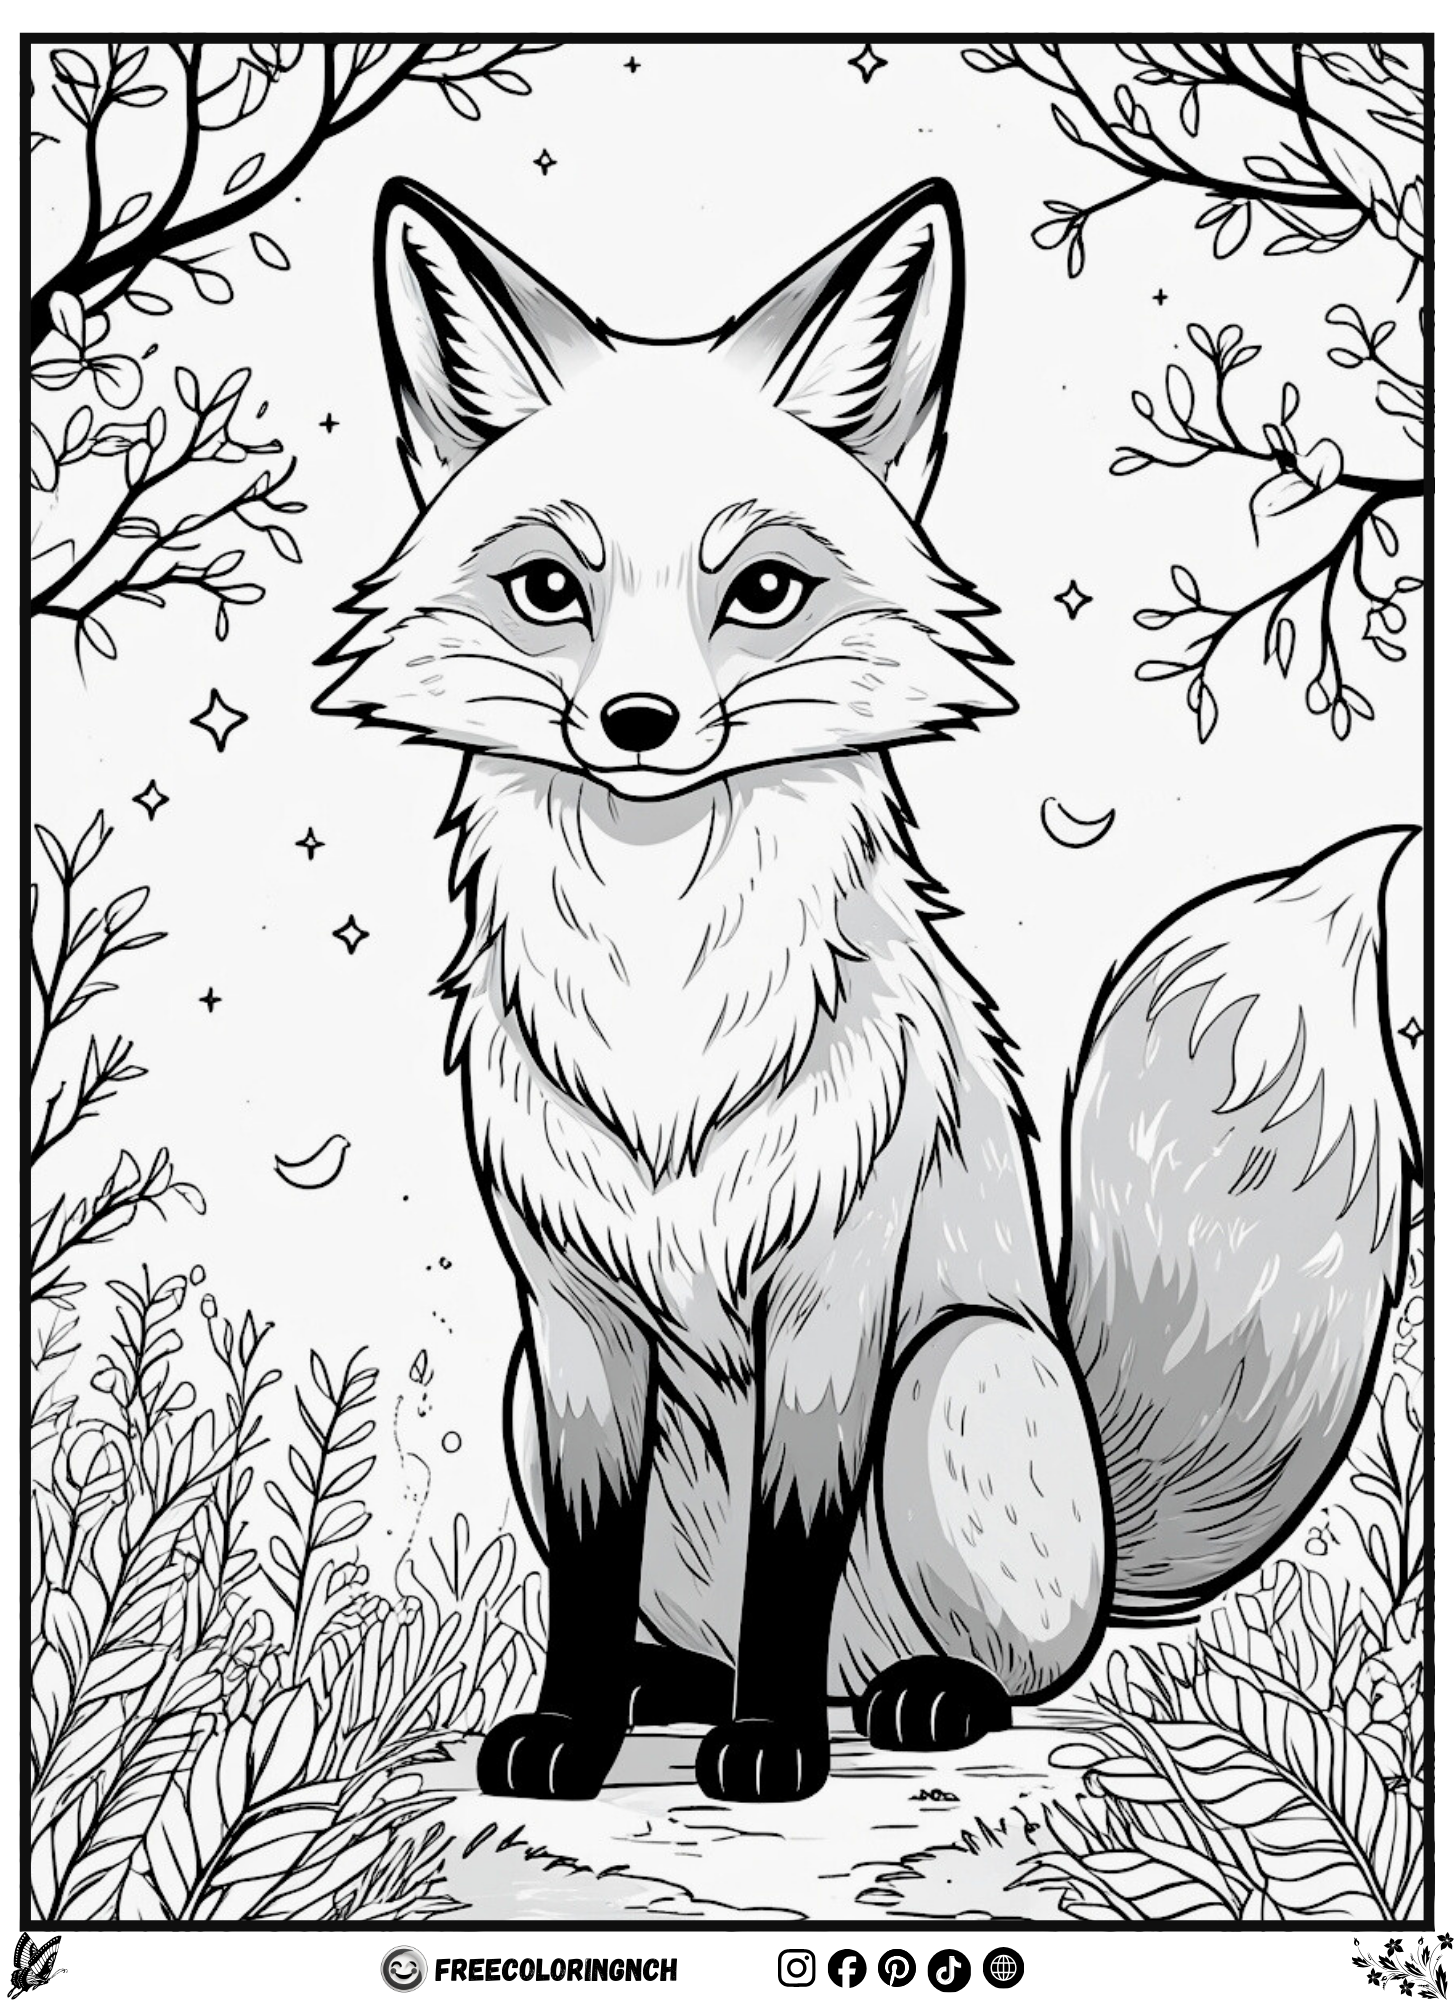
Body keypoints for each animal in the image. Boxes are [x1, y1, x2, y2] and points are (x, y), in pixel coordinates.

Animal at [317, 177, 1420, 1804]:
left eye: (763, 590)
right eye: (548, 590)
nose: (637, 722)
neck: (664, 1000)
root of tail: (1113, 1524)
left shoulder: (831, 1288)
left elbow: (793, 1544)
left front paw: (767, 1748)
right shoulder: (572, 1311)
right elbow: (585, 1568)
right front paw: (571, 1726)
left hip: (956, 1370)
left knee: (1000, 1663)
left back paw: (908, 1697)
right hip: (526, 1390)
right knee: (703, 1626)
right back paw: (669, 1686)